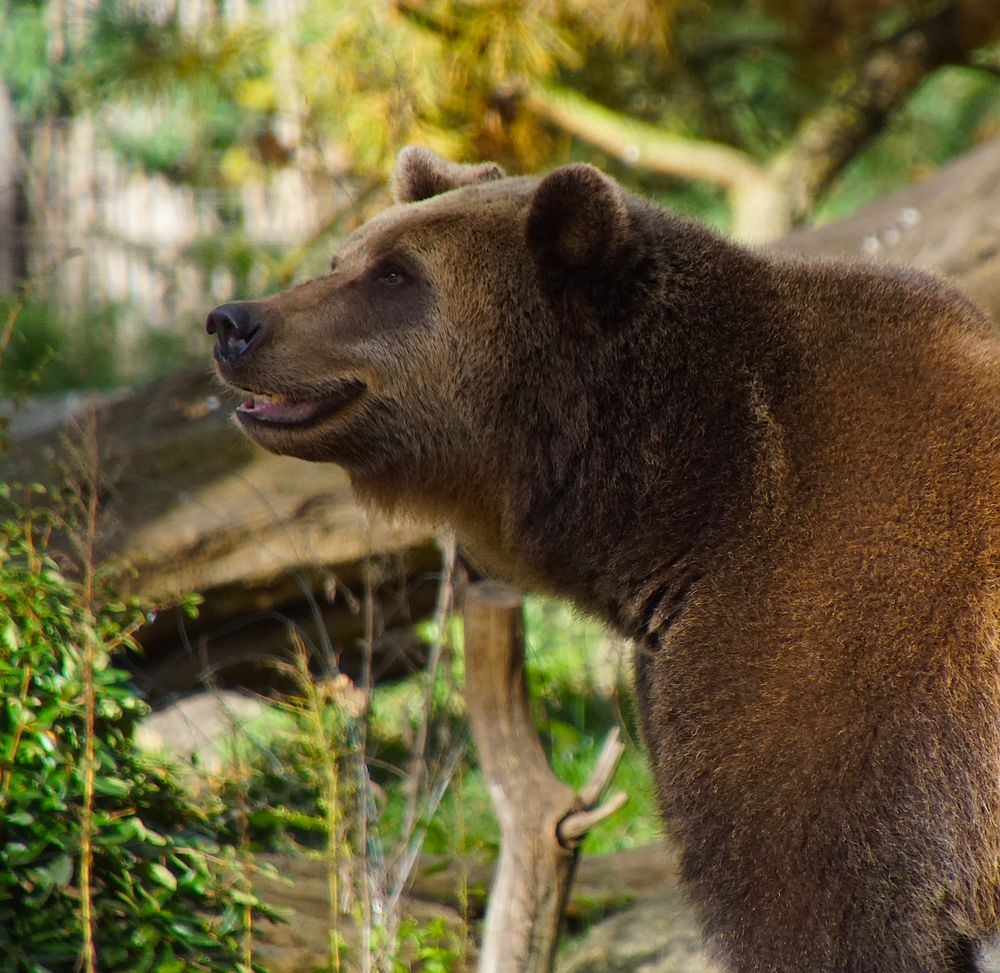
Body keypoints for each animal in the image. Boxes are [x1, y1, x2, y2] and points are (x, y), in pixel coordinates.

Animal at [207, 146, 1000, 972]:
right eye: (344, 257)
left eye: (395, 273)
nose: (233, 322)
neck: (696, 503)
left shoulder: (851, 680)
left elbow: (815, 900)